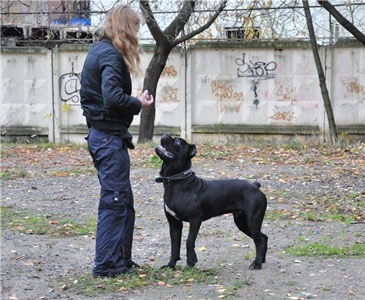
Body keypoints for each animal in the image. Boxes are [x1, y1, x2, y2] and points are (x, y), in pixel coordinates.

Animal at [154, 134, 268, 270]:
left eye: (178, 142)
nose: (166, 134)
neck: (176, 181)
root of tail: (255, 186)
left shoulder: (195, 220)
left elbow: (189, 241)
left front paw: (191, 261)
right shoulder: (174, 223)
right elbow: (174, 245)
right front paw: (170, 265)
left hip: (252, 220)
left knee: (258, 240)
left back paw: (256, 263)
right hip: (242, 222)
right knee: (263, 237)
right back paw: (262, 260)